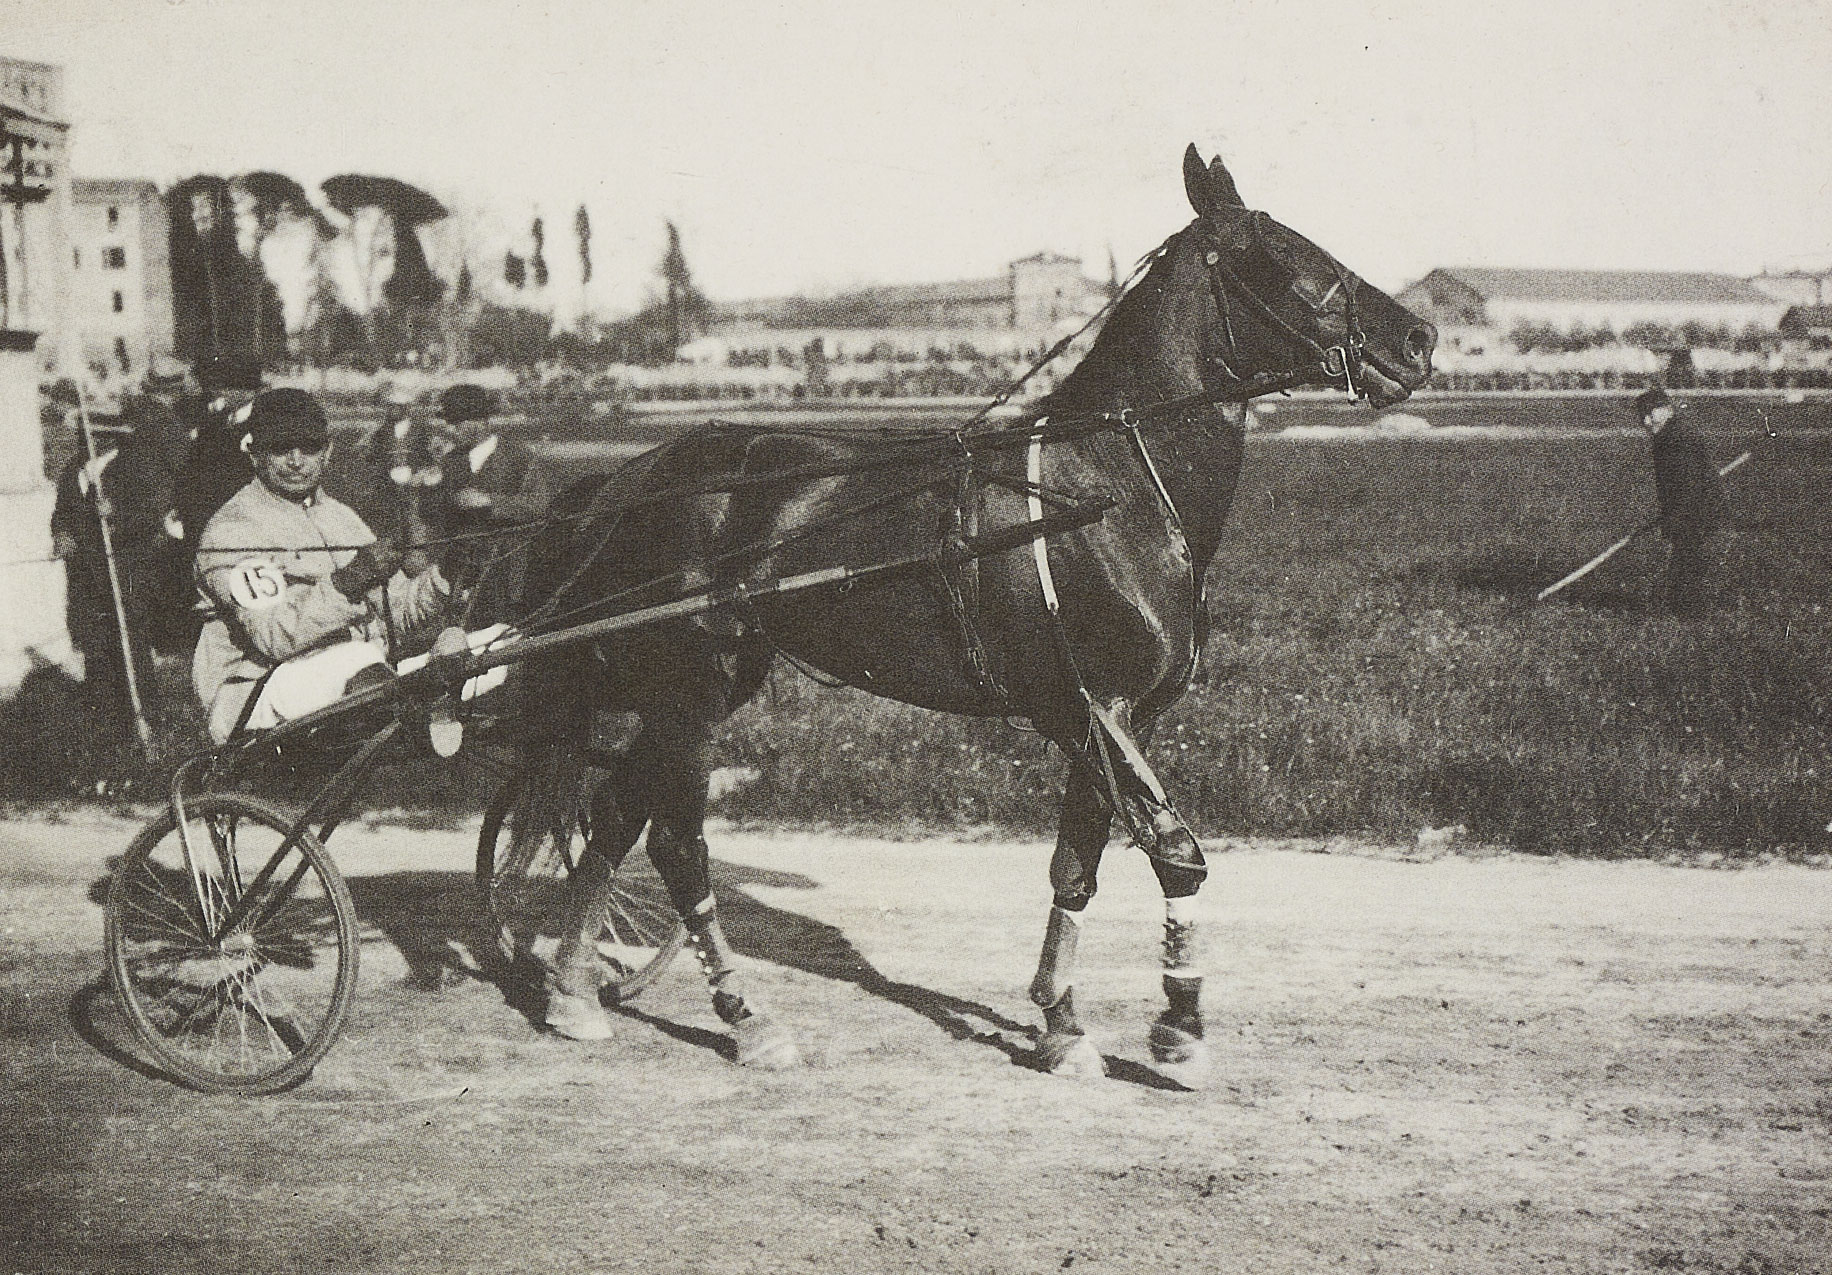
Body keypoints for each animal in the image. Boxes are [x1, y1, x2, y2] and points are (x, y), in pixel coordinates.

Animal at [523, 146, 1436, 1084]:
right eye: (1287, 255)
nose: (1418, 339)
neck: (1103, 486)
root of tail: (631, 477)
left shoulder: (1113, 719)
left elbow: (1077, 868)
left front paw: (1062, 1023)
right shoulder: (1086, 710)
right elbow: (1178, 858)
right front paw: (1180, 1029)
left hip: (707, 681)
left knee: (617, 813)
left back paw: (572, 991)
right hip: (692, 689)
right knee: (674, 840)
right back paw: (744, 1014)